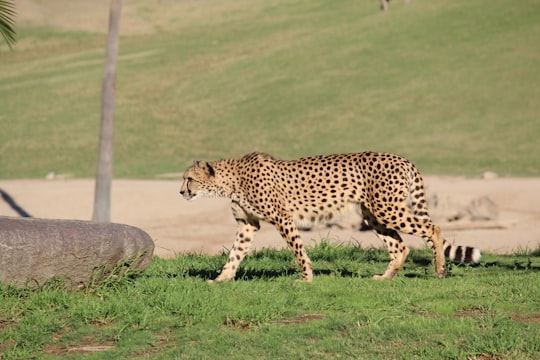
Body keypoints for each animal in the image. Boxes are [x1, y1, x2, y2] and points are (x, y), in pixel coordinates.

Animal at [180, 150, 480, 282]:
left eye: (189, 179)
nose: (181, 192)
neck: (232, 179)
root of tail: (401, 158)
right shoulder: (247, 224)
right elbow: (235, 253)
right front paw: (222, 278)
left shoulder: (283, 218)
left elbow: (298, 250)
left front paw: (306, 278)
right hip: (374, 215)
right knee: (400, 246)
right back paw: (385, 277)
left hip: (388, 209)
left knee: (433, 228)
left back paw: (440, 270)